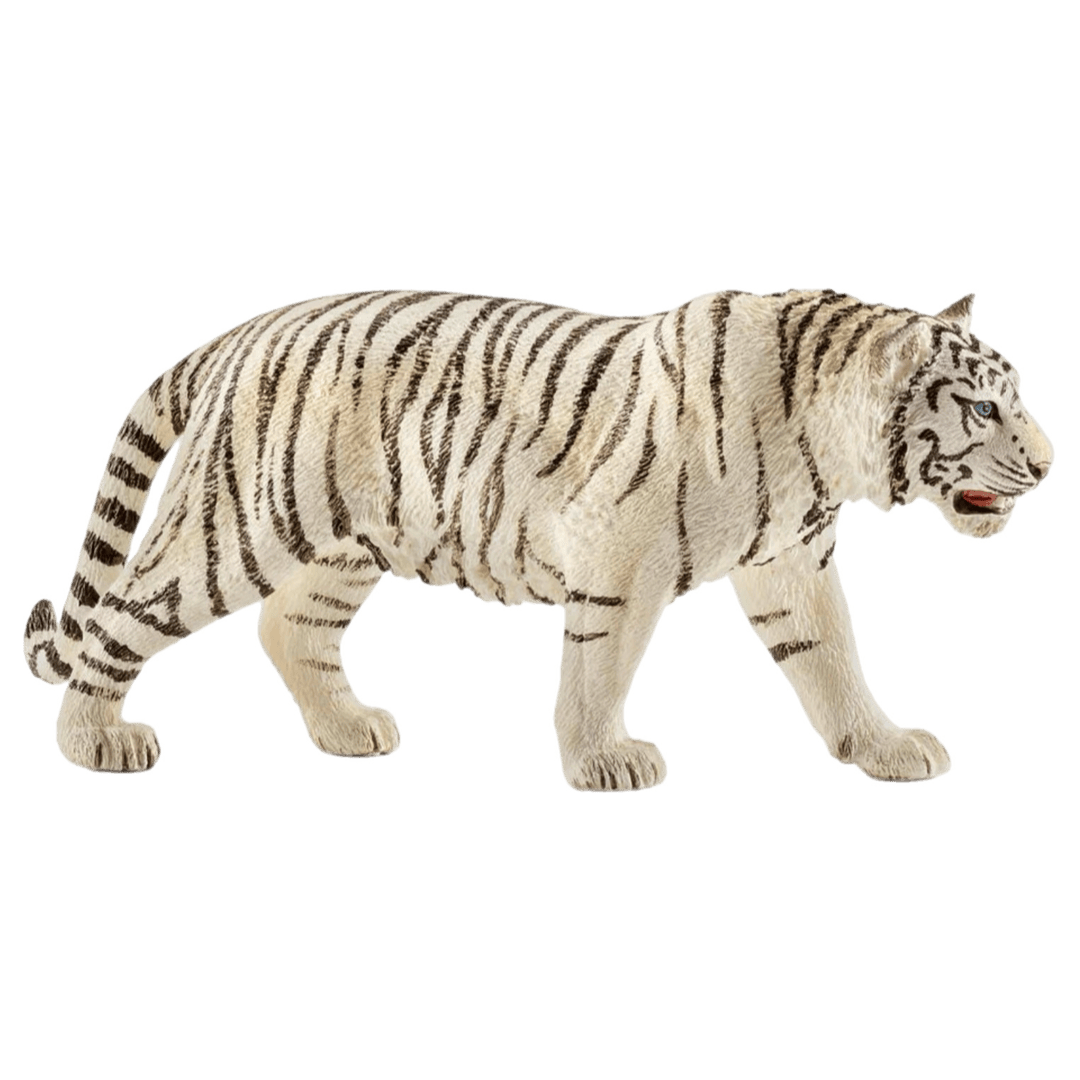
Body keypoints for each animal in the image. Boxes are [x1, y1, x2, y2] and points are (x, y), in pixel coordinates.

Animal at [23, 287, 1055, 789]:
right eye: (981, 407)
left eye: (1016, 396)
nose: (1049, 464)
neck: (824, 456)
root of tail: (239, 333)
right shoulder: (618, 550)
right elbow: (598, 665)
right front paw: (604, 761)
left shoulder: (789, 565)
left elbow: (833, 662)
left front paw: (883, 748)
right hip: (236, 526)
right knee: (124, 612)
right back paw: (95, 741)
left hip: (348, 544)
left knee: (289, 627)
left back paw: (350, 731)